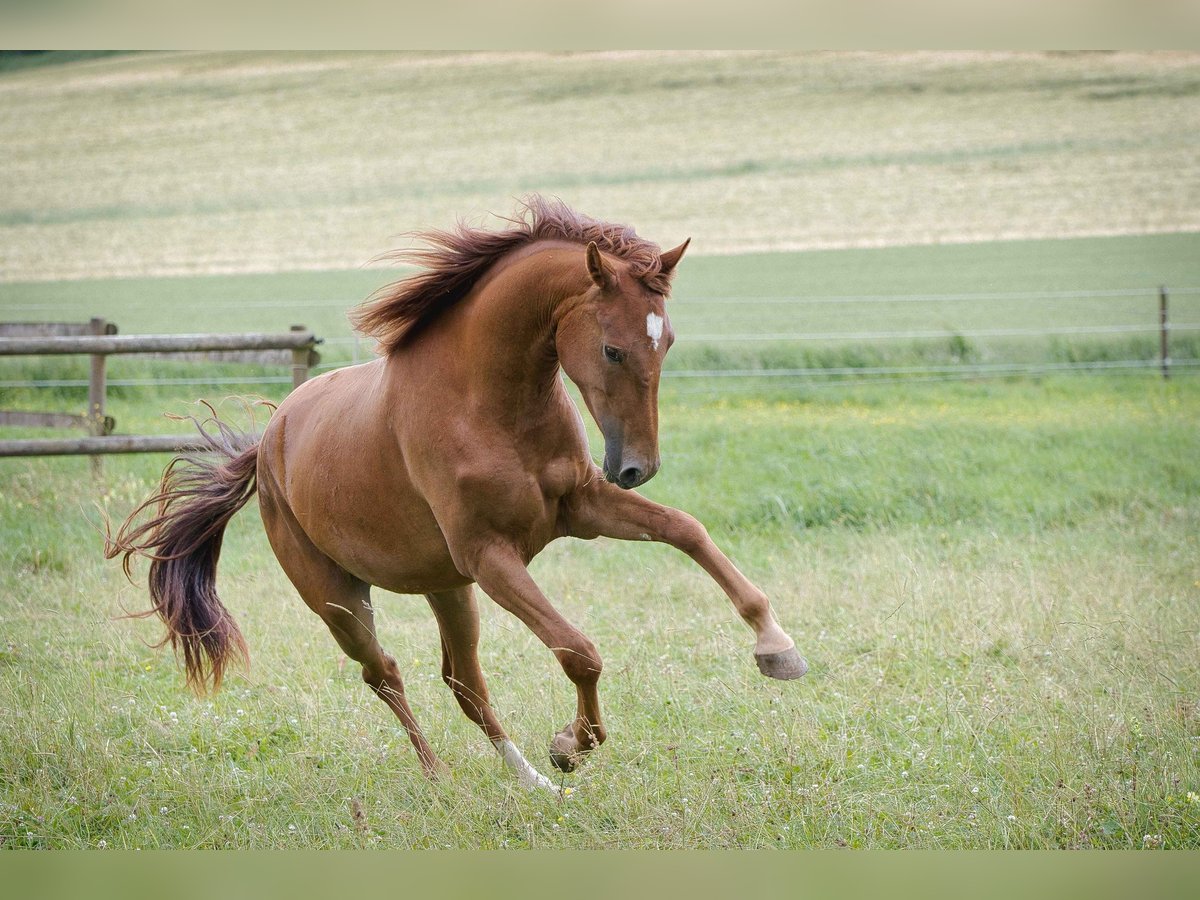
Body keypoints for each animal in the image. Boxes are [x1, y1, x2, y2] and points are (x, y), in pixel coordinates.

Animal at [110, 195, 806, 787]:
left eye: (667, 342)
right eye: (612, 349)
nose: (637, 467)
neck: (487, 404)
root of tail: (269, 439)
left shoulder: (579, 508)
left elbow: (686, 530)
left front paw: (777, 649)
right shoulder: (491, 557)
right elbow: (579, 652)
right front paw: (570, 746)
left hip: (447, 587)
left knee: (463, 682)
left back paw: (527, 782)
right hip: (338, 599)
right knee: (385, 674)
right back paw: (445, 775)